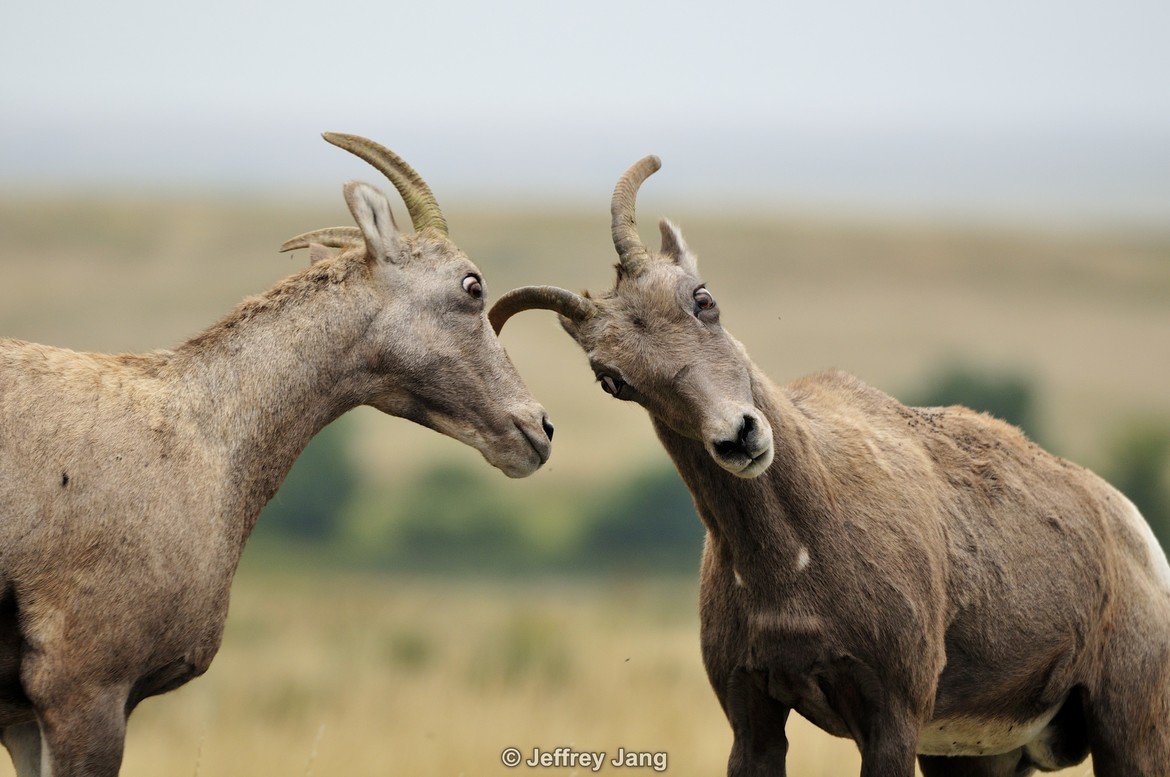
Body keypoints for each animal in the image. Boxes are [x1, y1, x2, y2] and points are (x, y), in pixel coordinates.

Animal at [489, 155, 1170, 776]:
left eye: (702, 300)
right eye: (613, 379)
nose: (739, 437)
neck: (798, 561)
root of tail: (1133, 535)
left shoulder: (892, 718)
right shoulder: (754, 718)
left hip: (1130, 732)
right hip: (980, 760)